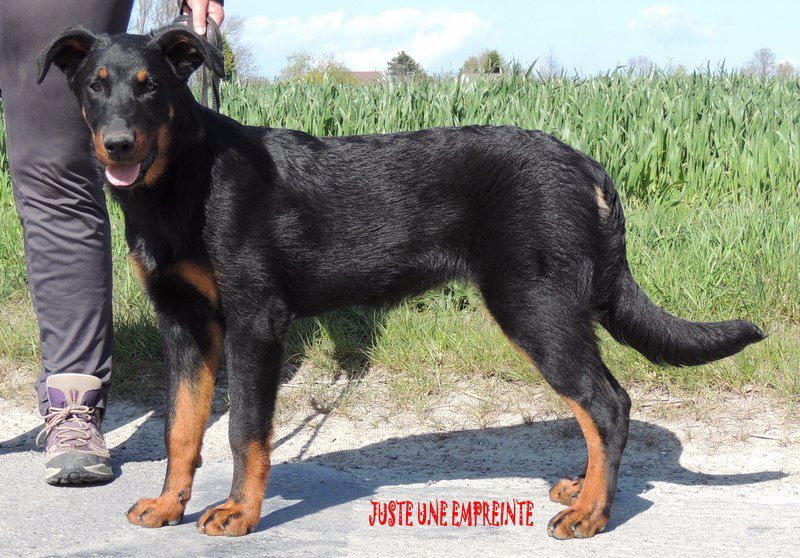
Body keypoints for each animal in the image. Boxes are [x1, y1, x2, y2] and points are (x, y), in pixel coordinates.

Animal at [40, 27, 764, 544]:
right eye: (96, 87)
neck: (186, 181)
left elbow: (244, 430)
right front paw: (170, 505)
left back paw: (594, 514)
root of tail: (585, 163)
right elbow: (182, 429)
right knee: (595, 408)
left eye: (150, 87)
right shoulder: (185, 325)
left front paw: (239, 514)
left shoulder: (255, 322)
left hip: (535, 307)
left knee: (608, 404)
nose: (118, 144)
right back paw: (582, 492)